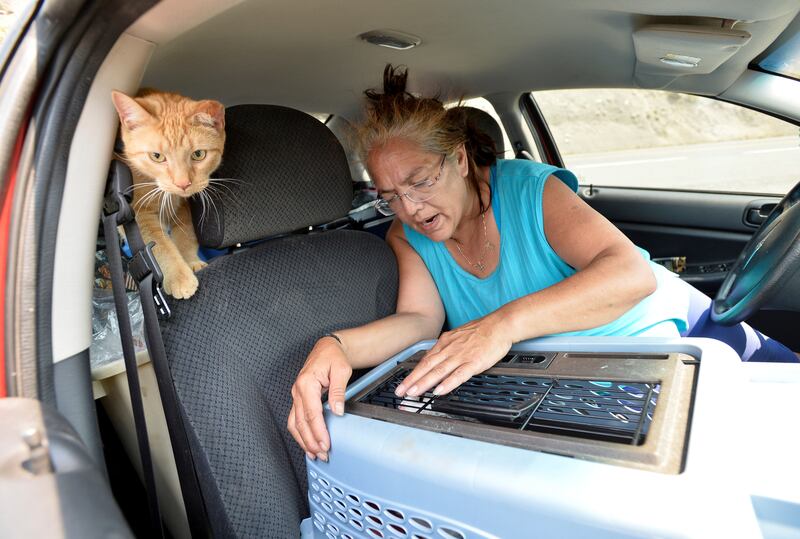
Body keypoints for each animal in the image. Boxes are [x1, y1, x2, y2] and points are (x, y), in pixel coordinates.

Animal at [111, 89, 225, 300]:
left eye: (198, 154)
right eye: (157, 156)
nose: (183, 184)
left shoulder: (184, 206)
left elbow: (185, 235)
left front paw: (190, 262)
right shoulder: (139, 213)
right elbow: (160, 245)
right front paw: (180, 277)